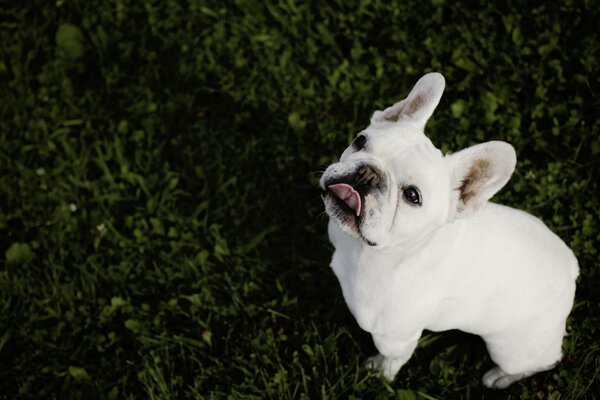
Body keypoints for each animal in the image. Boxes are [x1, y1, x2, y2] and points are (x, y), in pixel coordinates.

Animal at [322, 72, 580, 388]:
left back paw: (500, 377)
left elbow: (392, 359)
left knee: (544, 361)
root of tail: (571, 268)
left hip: (512, 349)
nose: (367, 174)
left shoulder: (395, 336)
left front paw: (380, 374)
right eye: (359, 141)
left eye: (412, 196)